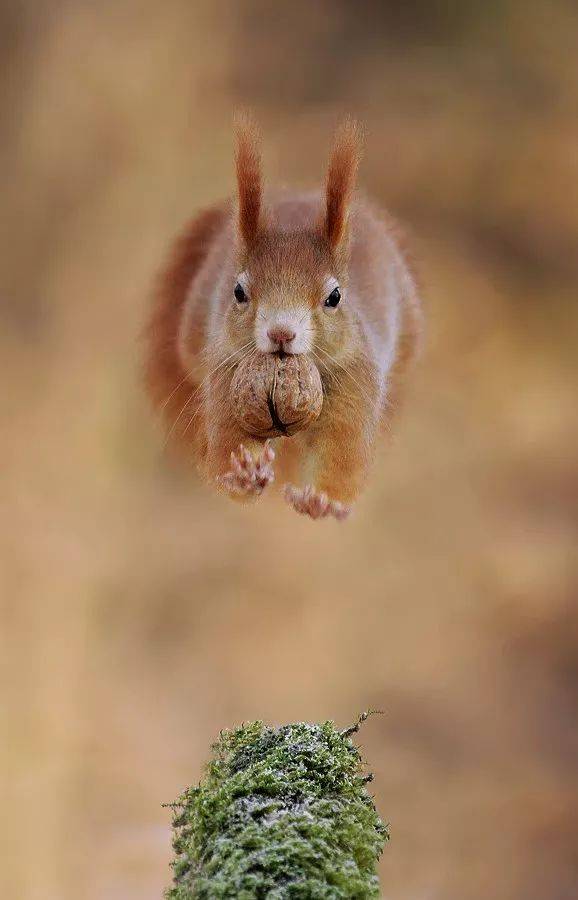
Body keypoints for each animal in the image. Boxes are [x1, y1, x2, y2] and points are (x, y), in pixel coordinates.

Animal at [145, 115, 418, 520]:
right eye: (238, 292)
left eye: (334, 297)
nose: (281, 333)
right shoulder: (226, 377)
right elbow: (228, 445)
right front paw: (244, 474)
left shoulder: (356, 383)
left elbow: (343, 455)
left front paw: (322, 499)